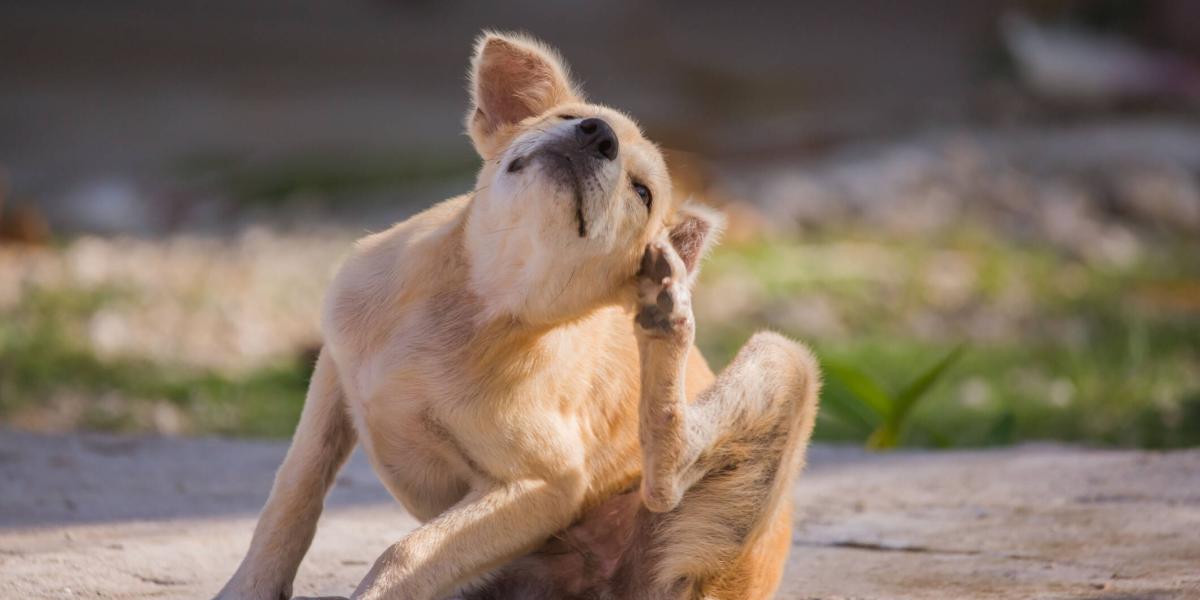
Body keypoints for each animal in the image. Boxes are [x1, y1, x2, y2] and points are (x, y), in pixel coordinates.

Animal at [216, 31, 820, 600]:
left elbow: (406, 552)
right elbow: (293, 492)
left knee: (666, 479)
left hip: (783, 360)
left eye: (642, 192)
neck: (479, 299)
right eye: (569, 119)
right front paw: (249, 586)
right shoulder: (334, 374)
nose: (596, 135)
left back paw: (666, 315)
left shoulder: (544, 485)